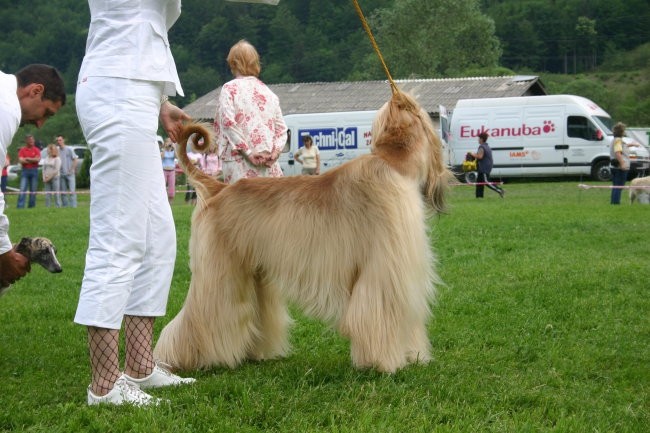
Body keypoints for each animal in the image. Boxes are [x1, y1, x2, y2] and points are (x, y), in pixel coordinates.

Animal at [154, 90, 454, 372]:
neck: (394, 165)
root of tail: (217, 189)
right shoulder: (383, 269)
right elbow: (378, 313)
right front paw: (384, 362)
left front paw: (413, 356)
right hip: (220, 269)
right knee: (199, 315)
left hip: (251, 270)